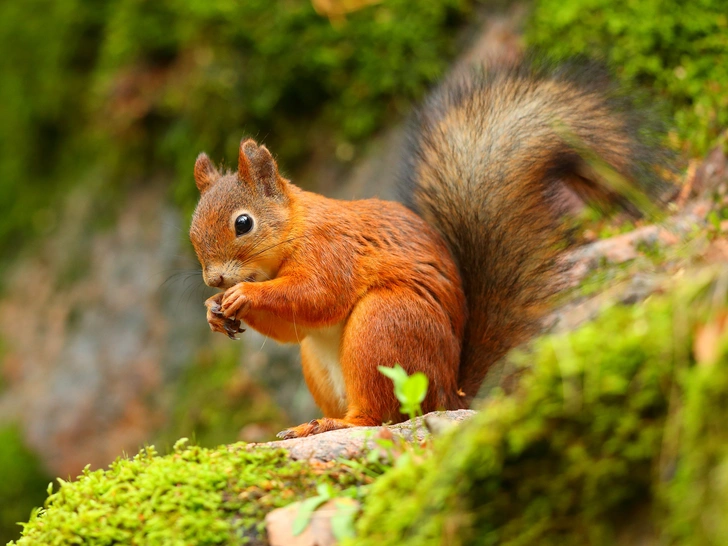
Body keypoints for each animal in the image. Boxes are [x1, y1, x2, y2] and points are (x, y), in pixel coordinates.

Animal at [188, 58, 664, 438]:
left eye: (243, 223)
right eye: (193, 233)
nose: (214, 279)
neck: (295, 230)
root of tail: (450, 394)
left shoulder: (332, 252)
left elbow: (316, 295)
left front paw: (243, 295)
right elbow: (293, 328)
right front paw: (214, 310)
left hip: (384, 326)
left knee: (379, 417)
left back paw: (332, 424)